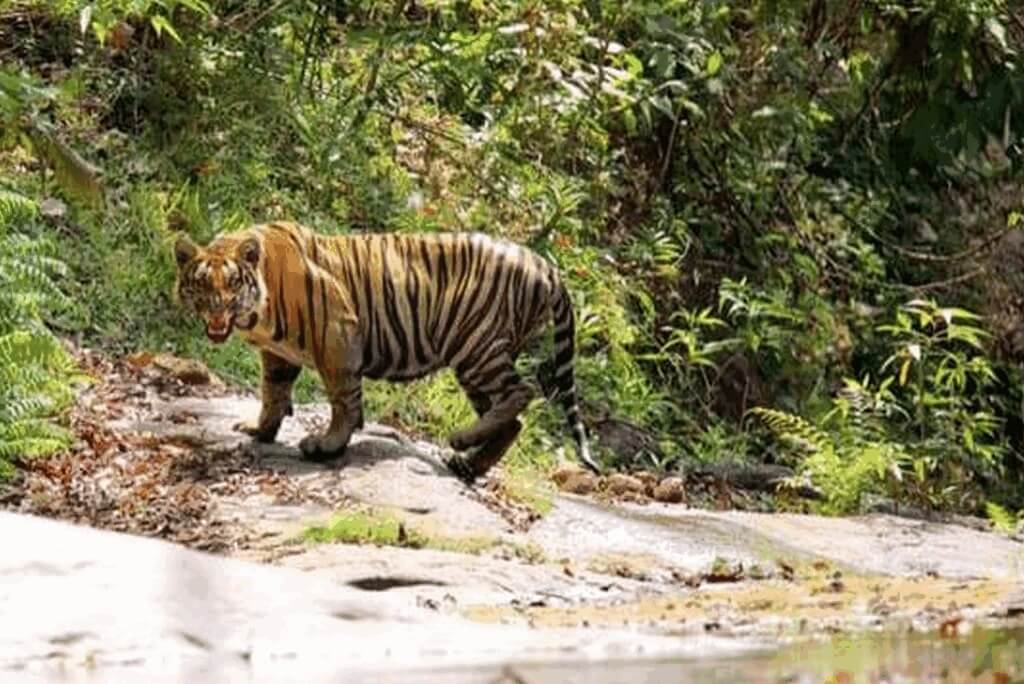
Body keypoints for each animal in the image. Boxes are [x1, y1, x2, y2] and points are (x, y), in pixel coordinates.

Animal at [173, 221, 600, 482]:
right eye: (202, 284)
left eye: (232, 284)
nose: (217, 312)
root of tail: (545, 264)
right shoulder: (279, 355)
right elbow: (273, 392)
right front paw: (260, 430)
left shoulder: (337, 332)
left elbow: (343, 399)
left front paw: (327, 445)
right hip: (477, 361)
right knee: (513, 421)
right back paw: (468, 463)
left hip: (477, 346)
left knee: (522, 392)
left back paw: (460, 441)